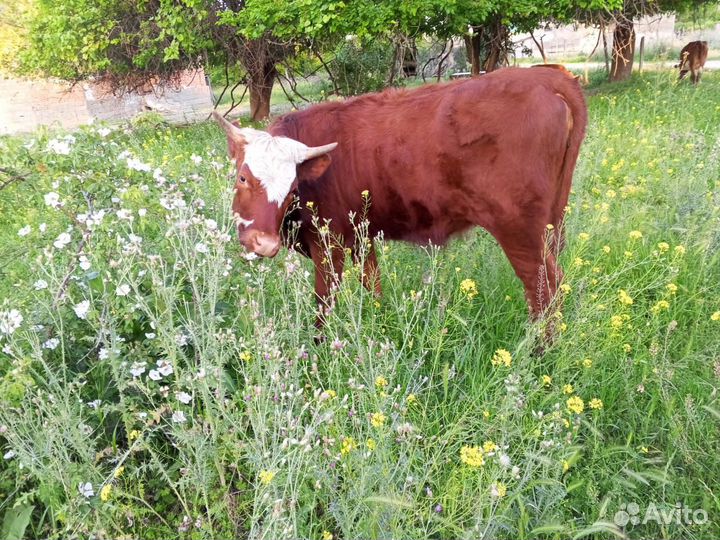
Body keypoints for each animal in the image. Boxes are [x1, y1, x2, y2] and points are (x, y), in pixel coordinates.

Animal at [214, 67, 587, 327]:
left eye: (292, 189)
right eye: (243, 177)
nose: (263, 244)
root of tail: (546, 77)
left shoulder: (328, 242)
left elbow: (324, 301)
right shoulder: (360, 236)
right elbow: (372, 283)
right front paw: (381, 325)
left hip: (519, 228)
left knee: (544, 287)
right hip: (551, 224)